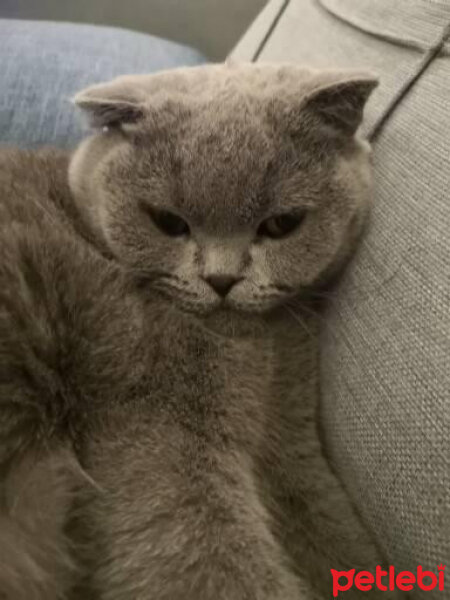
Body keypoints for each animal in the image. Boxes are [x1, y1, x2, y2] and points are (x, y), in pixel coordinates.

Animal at [0, 62, 398, 600]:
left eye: (281, 224)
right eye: (168, 222)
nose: (221, 279)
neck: (262, 350)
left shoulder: (293, 435)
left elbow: (334, 527)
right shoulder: (160, 422)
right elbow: (208, 552)